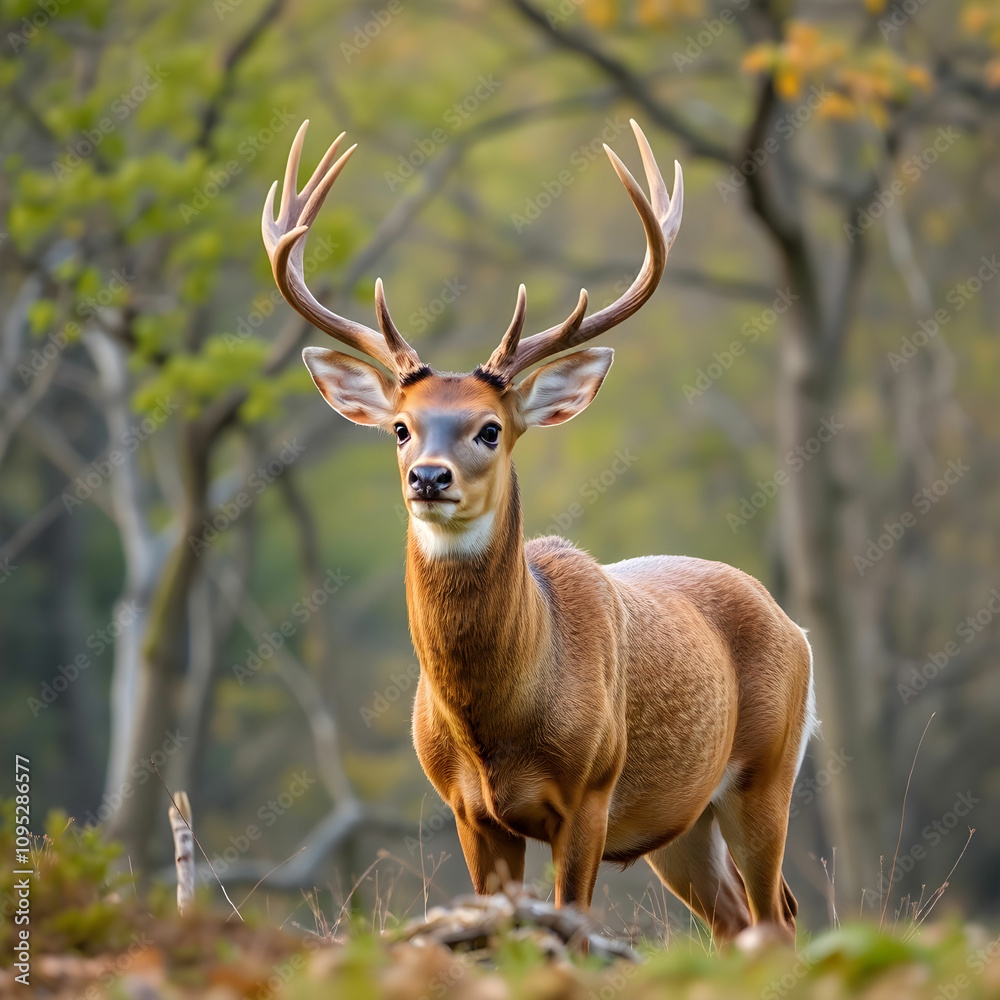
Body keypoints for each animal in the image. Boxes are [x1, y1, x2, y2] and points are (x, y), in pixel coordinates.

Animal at [262, 118, 818, 946]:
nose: (429, 477)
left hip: (766, 771)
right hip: (682, 823)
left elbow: (570, 931)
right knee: (736, 921)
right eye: (400, 427)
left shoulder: (590, 791)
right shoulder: (469, 811)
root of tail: (794, 624)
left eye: (489, 430)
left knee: (776, 916)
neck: (499, 725)